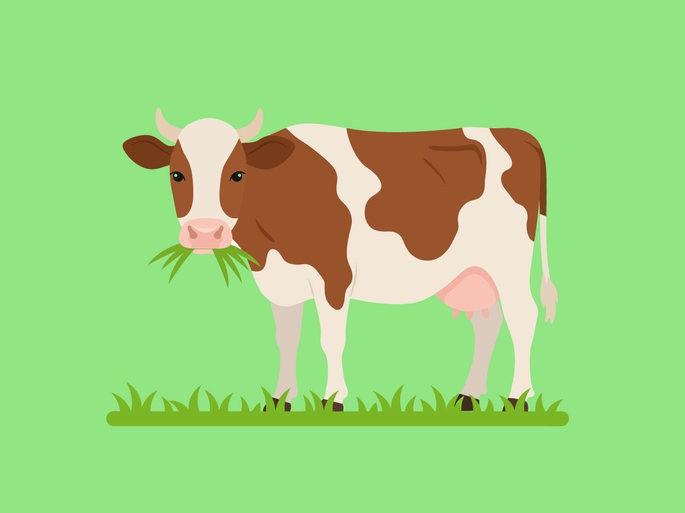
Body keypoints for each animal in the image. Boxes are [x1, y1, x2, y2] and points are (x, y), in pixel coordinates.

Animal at [123, 108, 558, 411]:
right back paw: (468, 396)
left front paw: (333, 399)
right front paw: (280, 400)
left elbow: (330, 339)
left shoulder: (333, 274)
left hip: (510, 261)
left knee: (522, 317)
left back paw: (518, 397)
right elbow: (287, 339)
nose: (205, 232)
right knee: (487, 322)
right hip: (472, 272)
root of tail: (518, 134)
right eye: (177, 175)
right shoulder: (281, 280)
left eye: (237, 174)